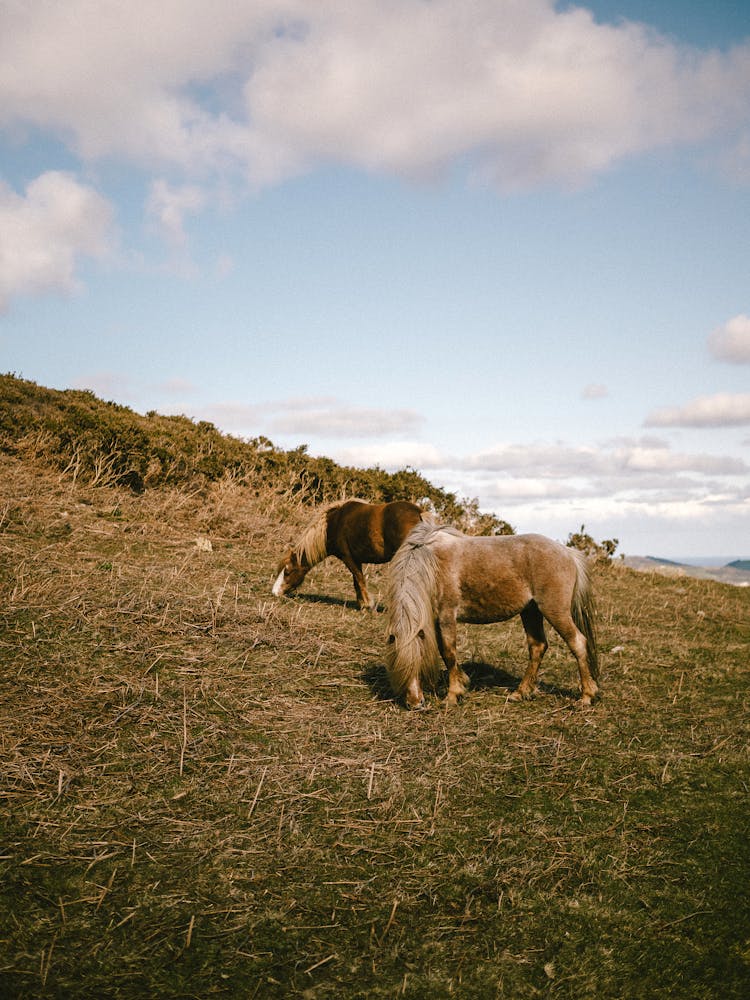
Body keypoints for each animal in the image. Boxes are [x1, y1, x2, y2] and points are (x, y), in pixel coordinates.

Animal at [270, 498, 426, 608]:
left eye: (287, 572)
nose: (275, 592)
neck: (333, 524)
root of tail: (420, 514)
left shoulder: (348, 558)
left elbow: (359, 579)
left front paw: (367, 604)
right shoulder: (356, 559)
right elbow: (356, 581)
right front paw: (362, 604)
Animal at [388, 520, 600, 708]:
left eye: (416, 663)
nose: (414, 704)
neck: (432, 564)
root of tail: (568, 553)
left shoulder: (447, 616)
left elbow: (449, 653)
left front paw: (453, 695)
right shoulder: (436, 620)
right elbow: (444, 652)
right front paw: (462, 682)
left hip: (554, 610)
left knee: (577, 643)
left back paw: (586, 697)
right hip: (531, 611)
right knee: (538, 646)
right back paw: (520, 693)